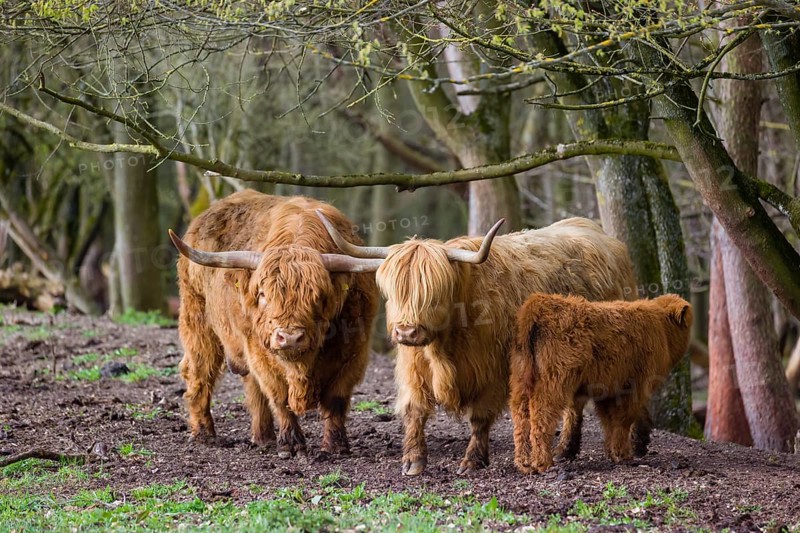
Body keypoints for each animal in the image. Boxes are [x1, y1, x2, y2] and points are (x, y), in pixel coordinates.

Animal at [169, 191, 379, 459]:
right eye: (263, 295)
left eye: (318, 297)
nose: (289, 338)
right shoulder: (259, 350)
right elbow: (279, 395)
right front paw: (290, 444)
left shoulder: (353, 354)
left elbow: (336, 399)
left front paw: (335, 446)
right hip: (197, 319)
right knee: (199, 371)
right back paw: (205, 434)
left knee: (251, 386)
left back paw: (263, 438)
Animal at [317, 213, 637, 475]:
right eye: (394, 291)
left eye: (434, 293)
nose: (406, 331)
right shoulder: (414, 368)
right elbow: (415, 410)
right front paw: (413, 460)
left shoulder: (492, 371)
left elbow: (479, 418)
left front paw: (472, 461)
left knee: (577, 401)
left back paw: (564, 449)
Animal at [510, 293, 692, 474]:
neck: (661, 328)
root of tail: (539, 303)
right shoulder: (634, 386)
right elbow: (623, 419)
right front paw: (623, 454)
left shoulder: (606, 389)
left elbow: (604, 420)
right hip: (552, 383)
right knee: (541, 415)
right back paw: (542, 463)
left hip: (522, 380)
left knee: (521, 417)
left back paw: (525, 463)